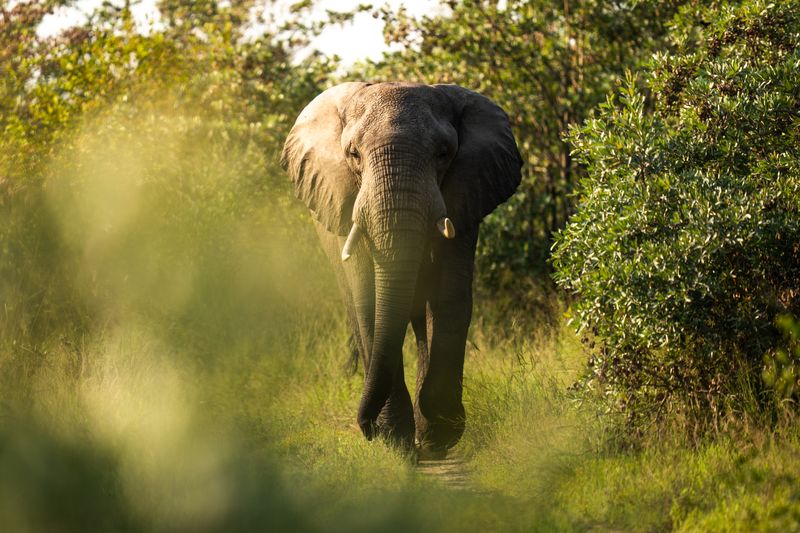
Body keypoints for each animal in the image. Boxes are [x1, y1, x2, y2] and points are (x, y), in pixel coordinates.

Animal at [281, 82, 522, 454]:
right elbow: (369, 300)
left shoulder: (464, 197)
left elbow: (449, 296)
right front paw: (395, 439)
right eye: (354, 154)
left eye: (443, 153)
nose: (365, 427)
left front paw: (439, 435)